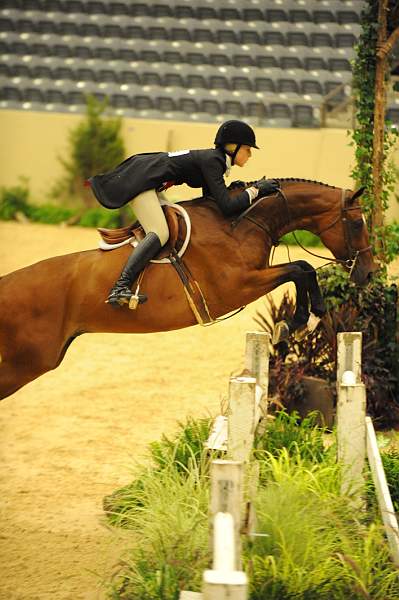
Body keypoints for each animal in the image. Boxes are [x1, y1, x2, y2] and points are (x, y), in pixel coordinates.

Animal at [0, 180, 378, 400]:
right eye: (358, 223)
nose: (369, 272)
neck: (241, 223)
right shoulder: (237, 286)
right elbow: (301, 268)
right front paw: (297, 322)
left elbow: (301, 270)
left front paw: (299, 324)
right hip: (29, 362)